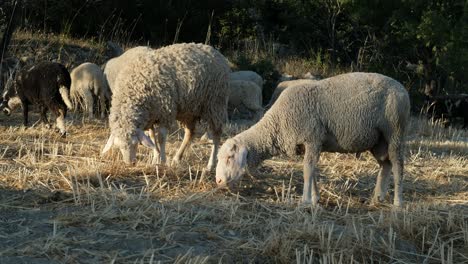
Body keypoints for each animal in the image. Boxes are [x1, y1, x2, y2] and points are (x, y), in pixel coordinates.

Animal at [101, 43, 230, 173]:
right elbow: (152, 137)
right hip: (189, 110)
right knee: (190, 133)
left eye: (135, 143)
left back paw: (210, 165)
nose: (130, 163)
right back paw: (177, 158)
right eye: (118, 146)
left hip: (215, 103)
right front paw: (155, 158)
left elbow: (161, 138)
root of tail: (214, 50)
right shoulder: (151, 115)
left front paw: (162, 160)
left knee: (216, 134)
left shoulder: (165, 111)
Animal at [216, 73, 410, 207]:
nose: (218, 181)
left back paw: (397, 202)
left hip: (394, 131)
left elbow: (307, 170)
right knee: (386, 164)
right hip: (378, 141)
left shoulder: (313, 139)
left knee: (398, 166)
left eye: (230, 157)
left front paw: (305, 200)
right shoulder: (308, 145)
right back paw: (378, 197)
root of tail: (402, 88)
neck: (278, 121)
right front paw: (315, 198)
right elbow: (312, 170)